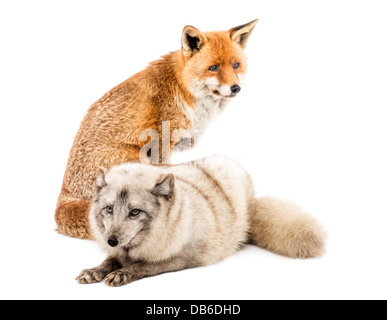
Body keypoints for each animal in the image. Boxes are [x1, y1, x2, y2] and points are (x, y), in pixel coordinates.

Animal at [54, 19, 260, 240]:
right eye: (213, 67)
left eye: (236, 65)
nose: (236, 88)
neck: (182, 88)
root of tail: (63, 195)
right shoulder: (161, 140)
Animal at [77, 156, 326, 286]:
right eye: (109, 209)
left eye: (135, 212)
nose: (111, 240)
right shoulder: (119, 251)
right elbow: (109, 260)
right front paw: (95, 270)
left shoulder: (181, 259)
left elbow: (143, 266)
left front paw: (123, 273)